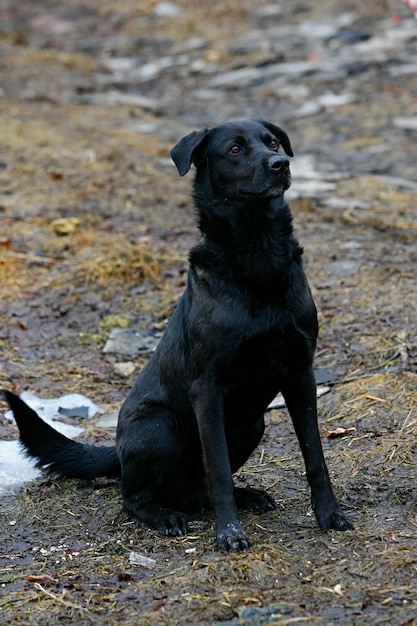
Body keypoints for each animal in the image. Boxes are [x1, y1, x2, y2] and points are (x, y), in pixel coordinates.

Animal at [4, 119, 352, 548]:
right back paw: (164, 516)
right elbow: (217, 468)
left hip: (252, 423)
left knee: (194, 491)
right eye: (234, 149)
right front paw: (229, 533)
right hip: (160, 428)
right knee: (134, 497)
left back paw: (245, 496)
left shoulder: (301, 372)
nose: (280, 164)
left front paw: (329, 514)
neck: (257, 254)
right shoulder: (207, 388)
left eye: (272, 143)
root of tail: (117, 450)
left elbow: (314, 455)